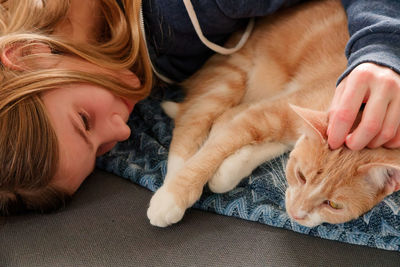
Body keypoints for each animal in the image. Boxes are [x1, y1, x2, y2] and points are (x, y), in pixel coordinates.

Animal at [147, 0, 400, 228]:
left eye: (334, 205)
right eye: (301, 176)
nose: (297, 213)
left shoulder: (278, 124)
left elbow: (256, 149)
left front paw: (228, 168)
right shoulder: (264, 112)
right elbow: (214, 149)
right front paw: (175, 195)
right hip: (228, 78)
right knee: (190, 120)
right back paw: (169, 188)